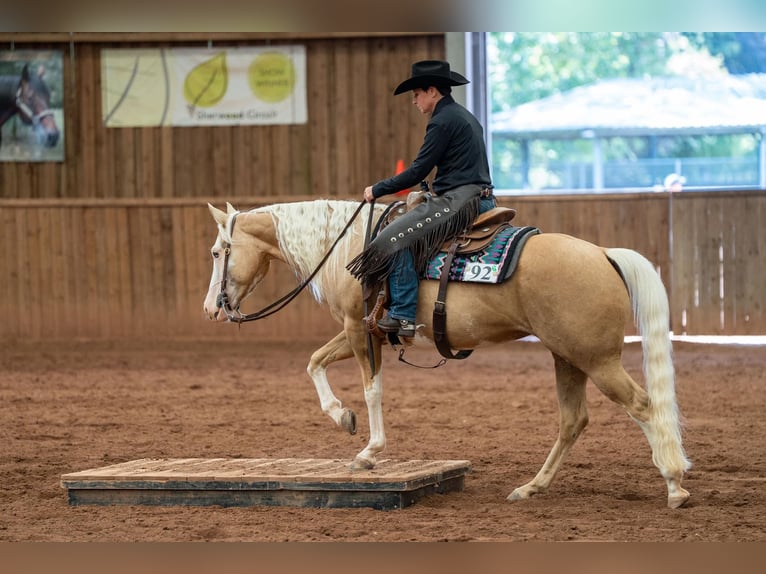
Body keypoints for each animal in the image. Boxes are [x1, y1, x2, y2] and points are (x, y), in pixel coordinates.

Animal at [206, 199, 696, 508]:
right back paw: (529, 488)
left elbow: (371, 389)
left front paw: (369, 451)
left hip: (597, 360)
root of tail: (603, 253)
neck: (351, 248)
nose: (212, 308)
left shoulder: (360, 330)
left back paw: (674, 485)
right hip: (567, 357)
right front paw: (341, 417)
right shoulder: (359, 333)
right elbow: (314, 363)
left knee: (643, 405)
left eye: (216, 252)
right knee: (573, 420)